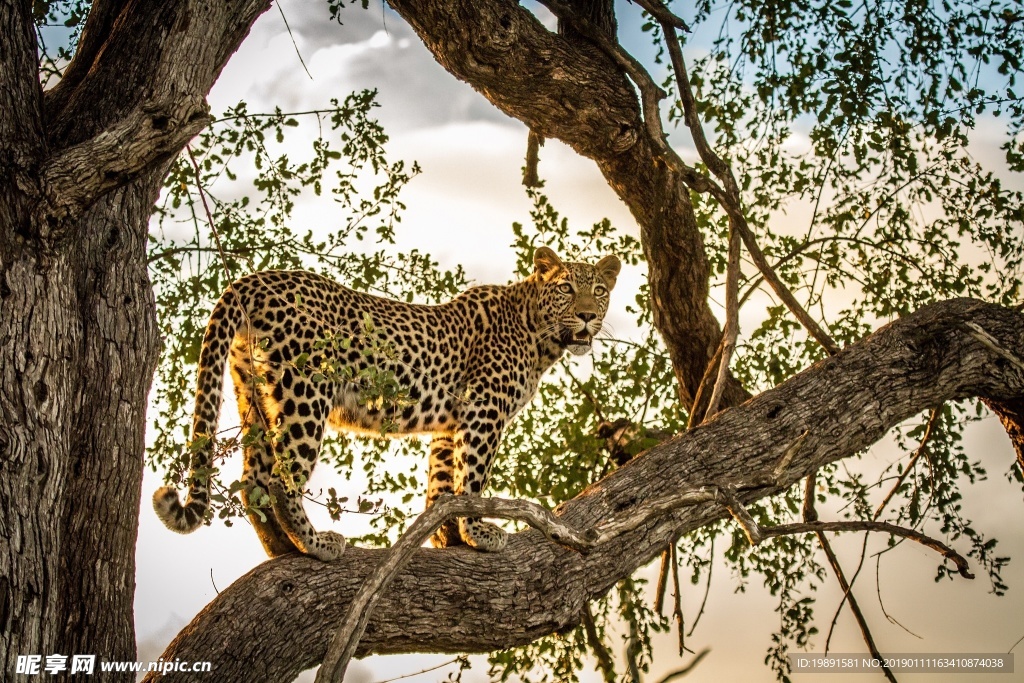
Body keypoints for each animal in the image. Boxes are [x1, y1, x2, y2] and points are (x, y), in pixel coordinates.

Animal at [150, 246, 614, 561]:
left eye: (600, 291)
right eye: (567, 288)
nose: (589, 316)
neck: (539, 335)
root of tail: (254, 280)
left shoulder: (450, 424)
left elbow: (443, 484)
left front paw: (448, 536)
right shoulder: (484, 411)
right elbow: (473, 479)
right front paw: (479, 533)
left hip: (254, 393)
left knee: (253, 480)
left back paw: (281, 548)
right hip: (305, 391)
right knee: (282, 478)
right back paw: (315, 544)